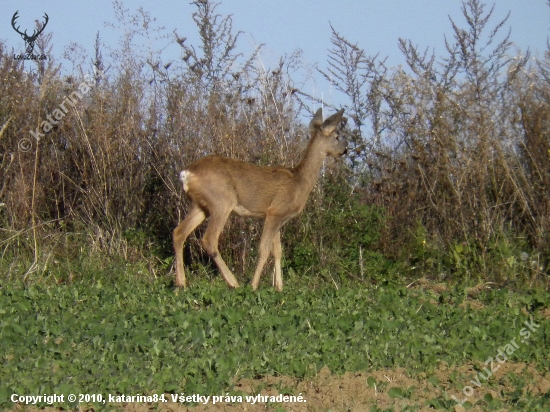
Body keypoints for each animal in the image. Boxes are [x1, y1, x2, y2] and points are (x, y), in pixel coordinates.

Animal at [172, 108, 348, 292]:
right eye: (337, 136)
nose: (346, 149)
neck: (299, 181)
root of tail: (186, 173)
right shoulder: (275, 211)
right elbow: (264, 249)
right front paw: (254, 285)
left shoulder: (278, 216)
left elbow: (277, 251)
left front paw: (279, 287)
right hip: (221, 202)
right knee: (209, 240)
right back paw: (233, 282)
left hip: (200, 205)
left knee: (179, 232)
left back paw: (181, 283)